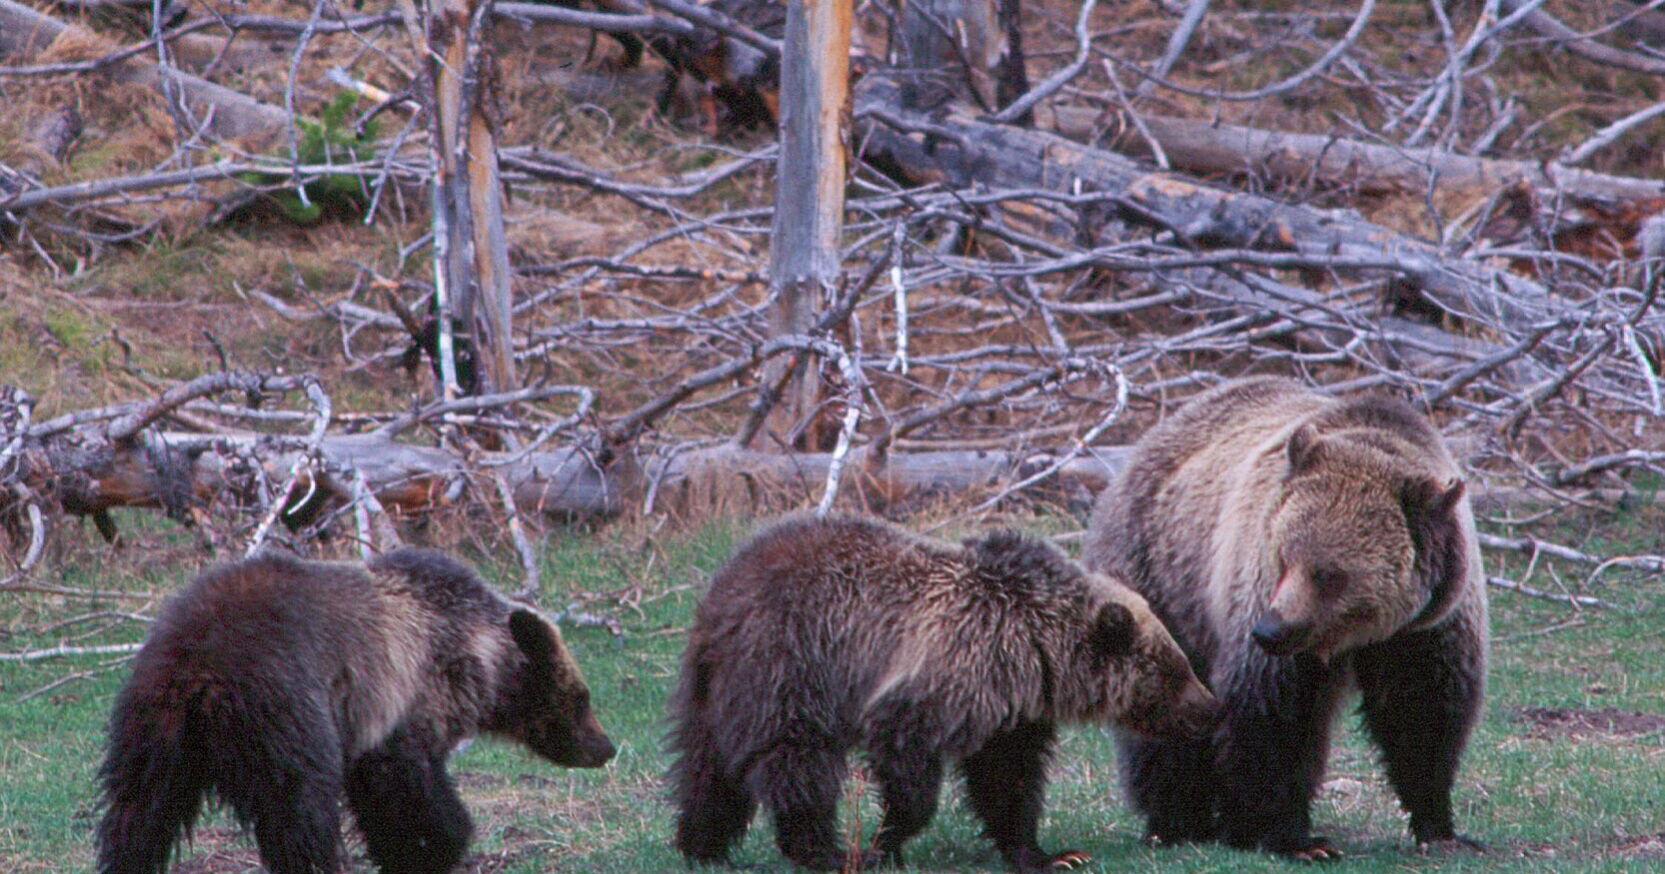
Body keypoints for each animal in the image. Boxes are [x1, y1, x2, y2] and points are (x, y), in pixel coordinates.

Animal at [97, 547, 616, 874]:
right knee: (300, 811)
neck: (480, 656)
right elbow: (405, 789)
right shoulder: (403, 702)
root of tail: (198, 670)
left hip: (153, 726)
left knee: (138, 812)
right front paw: (435, 845)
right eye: (583, 697)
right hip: (282, 710)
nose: (606, 746)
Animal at [667, 514, 1222, 872]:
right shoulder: (949, 672)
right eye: (1175, 669)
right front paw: (884, 841)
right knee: (796, 760)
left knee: (705, 768)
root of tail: (722, 592)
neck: (1036, 648)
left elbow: (1008, 779)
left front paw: (1053, 854)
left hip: (713, 686)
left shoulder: (1011, 712)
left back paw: (700, 843)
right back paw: (826, 851)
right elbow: (908, 763)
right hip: (790, 664)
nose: (1210, 710)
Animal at [1082, 376, 1488, 860]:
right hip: (1163, 578)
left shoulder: (1427, 628)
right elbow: (1274, 714)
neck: (1360, 635)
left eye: (1328, 574)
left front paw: (1441, 826)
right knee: (1165, 707)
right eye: (1283, 556)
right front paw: (1289, 836)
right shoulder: (1260, 600)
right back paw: (1178, 819)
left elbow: (1421, 712)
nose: (1271, 630)